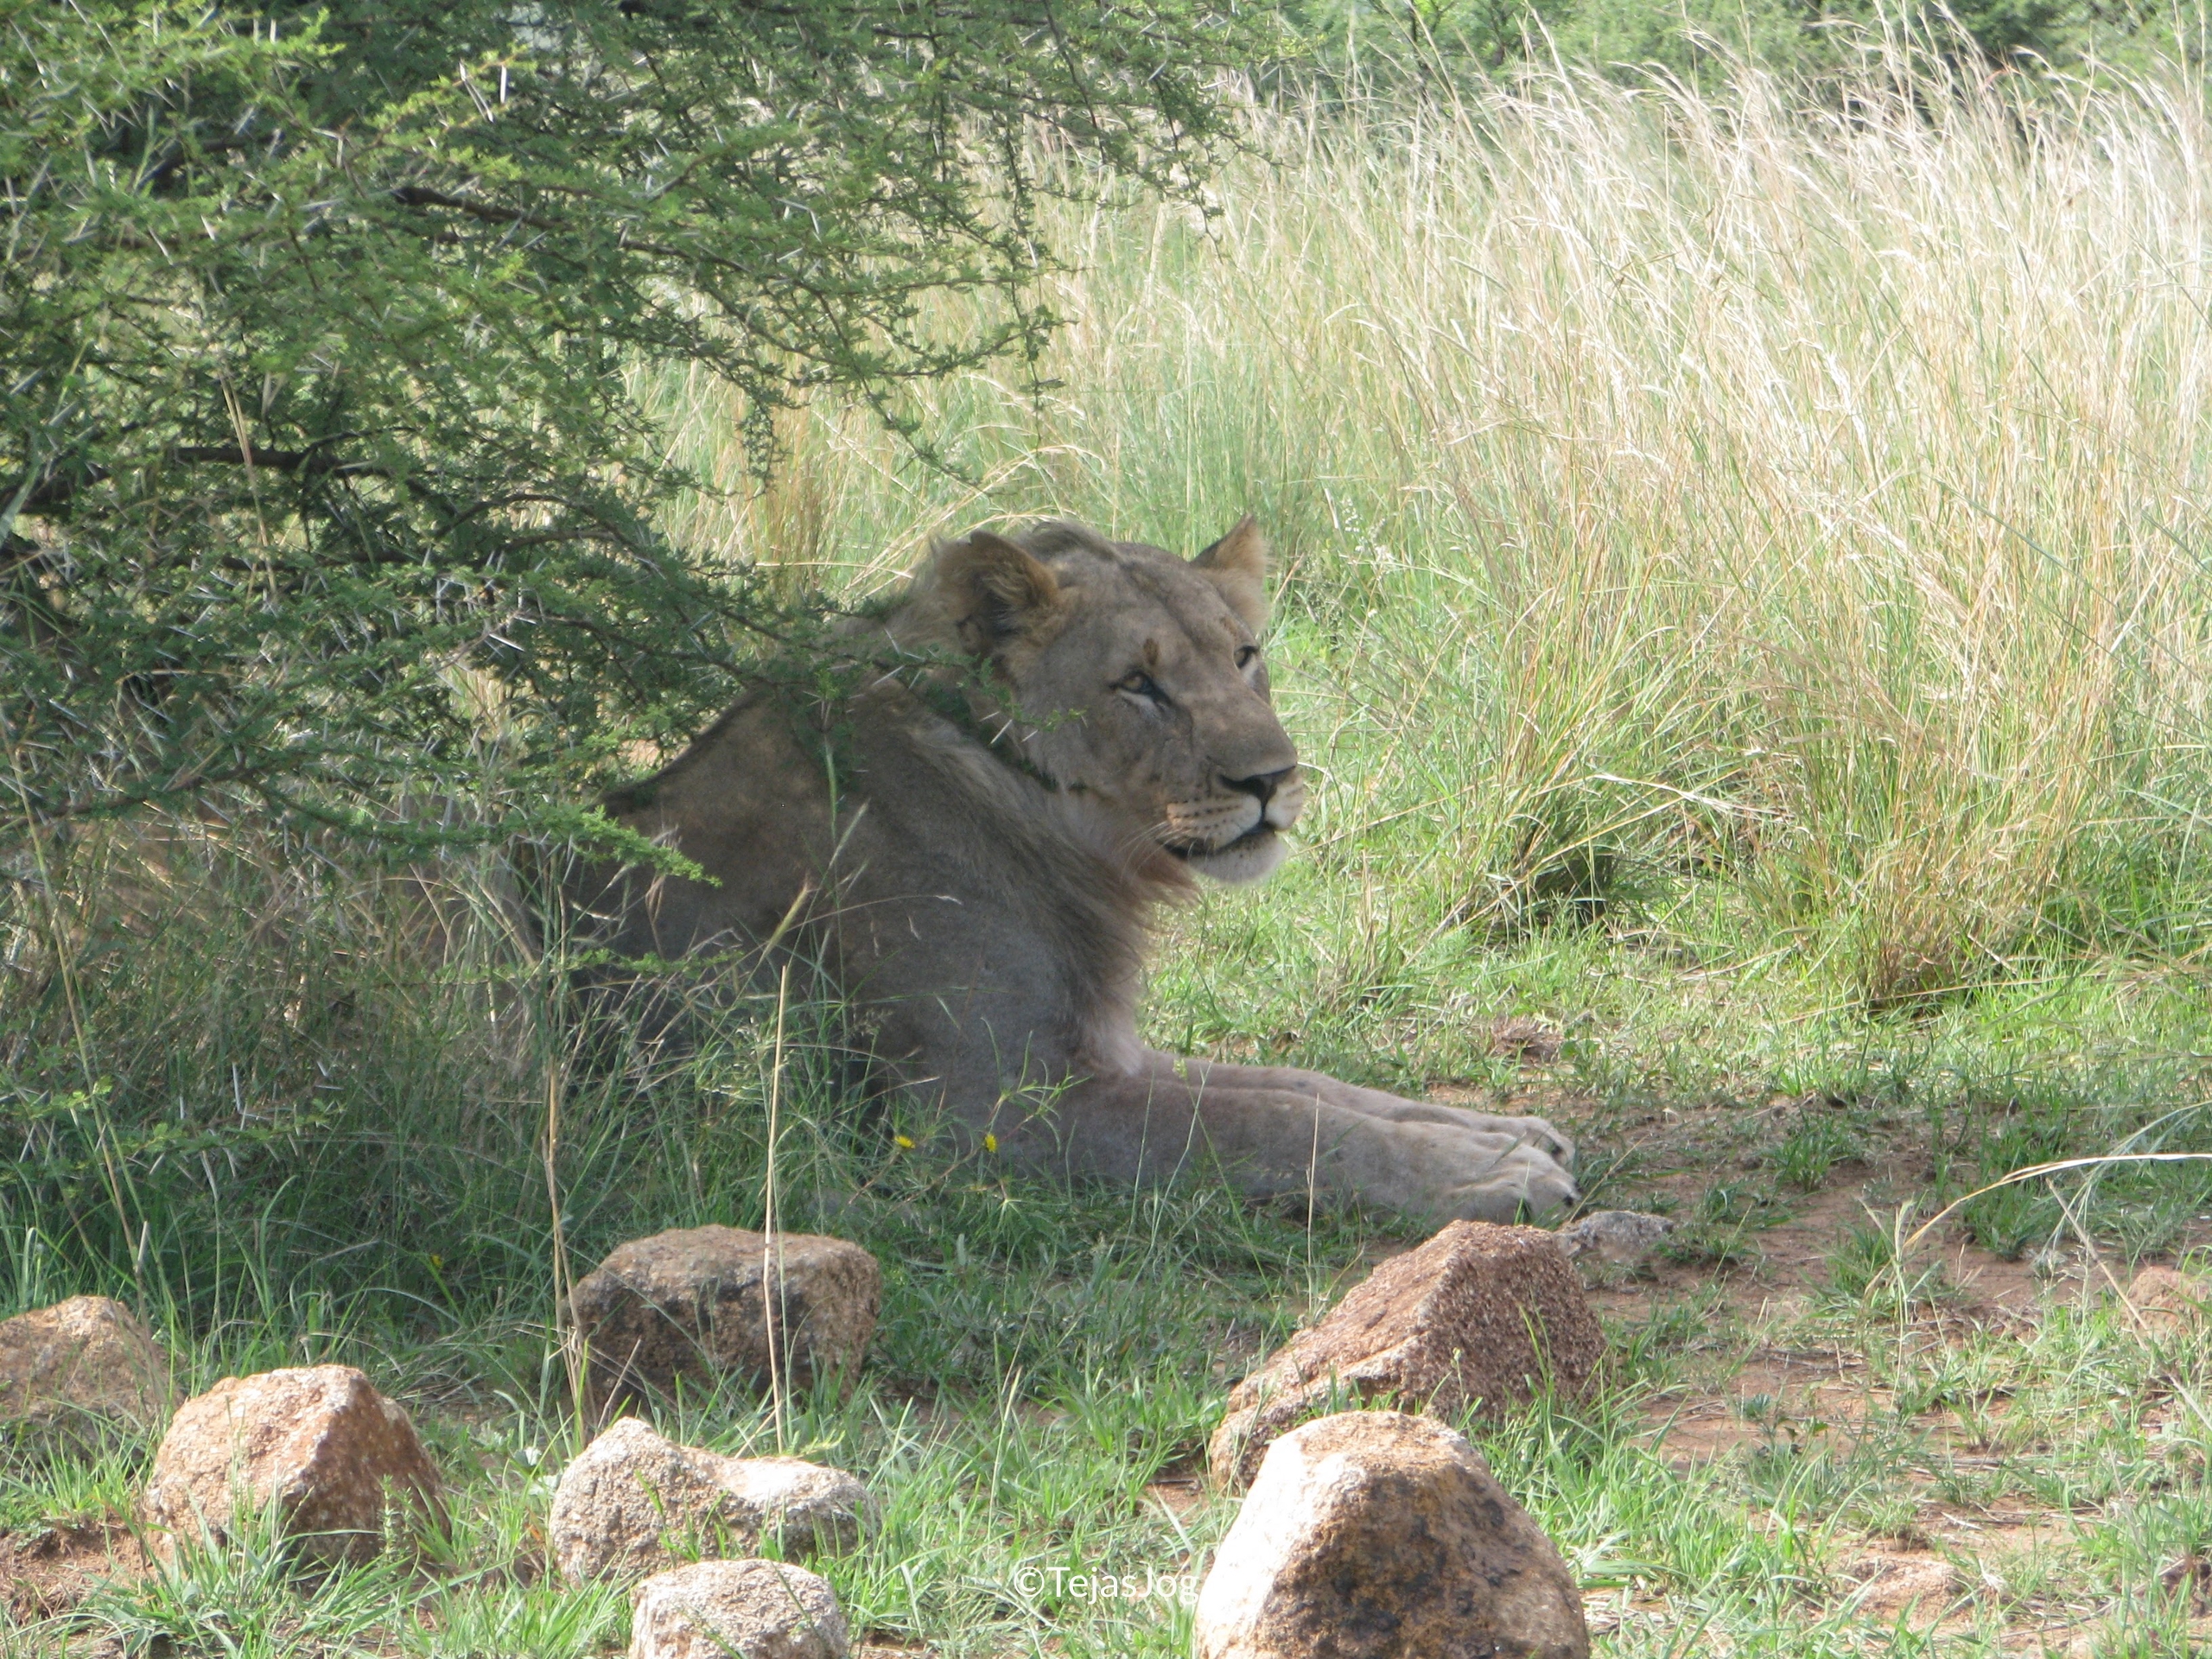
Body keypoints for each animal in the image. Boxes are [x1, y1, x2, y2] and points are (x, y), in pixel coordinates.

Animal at [566, 518, 1578, 1223]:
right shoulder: (987, 1109)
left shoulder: (1100, 1046)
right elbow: (1269, 1123)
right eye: (1139, 684)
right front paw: (1491, 1177)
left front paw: (1504, 1133)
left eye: (1243, 656)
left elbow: (1306, 1085)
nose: (1273, 779)